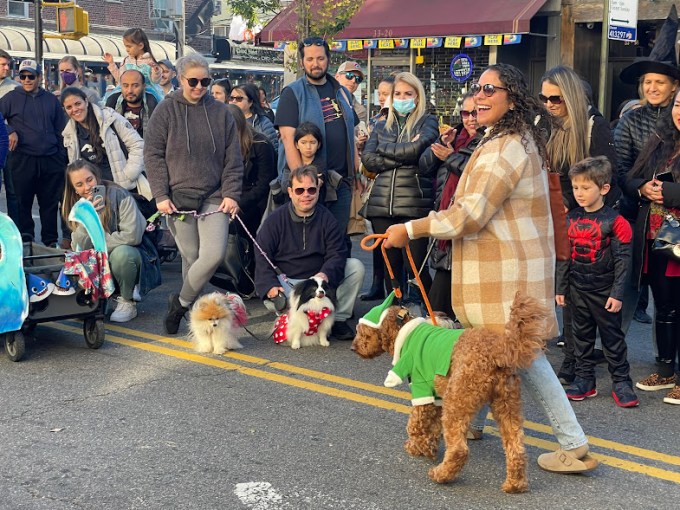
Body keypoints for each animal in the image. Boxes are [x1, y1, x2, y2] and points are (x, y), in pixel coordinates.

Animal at [350, 290, 548, 494]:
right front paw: (428, 446)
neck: (404, 331)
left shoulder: (421, 387)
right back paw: (515, 484)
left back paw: (441, 474)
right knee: (516, 447)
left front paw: (417, 447)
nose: (353, 347)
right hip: (507, 403)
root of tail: (498, 350)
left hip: (457, 400)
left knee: (459, 450)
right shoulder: (435, 397)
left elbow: (415, 424)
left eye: (362, 331)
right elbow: (433, 426)